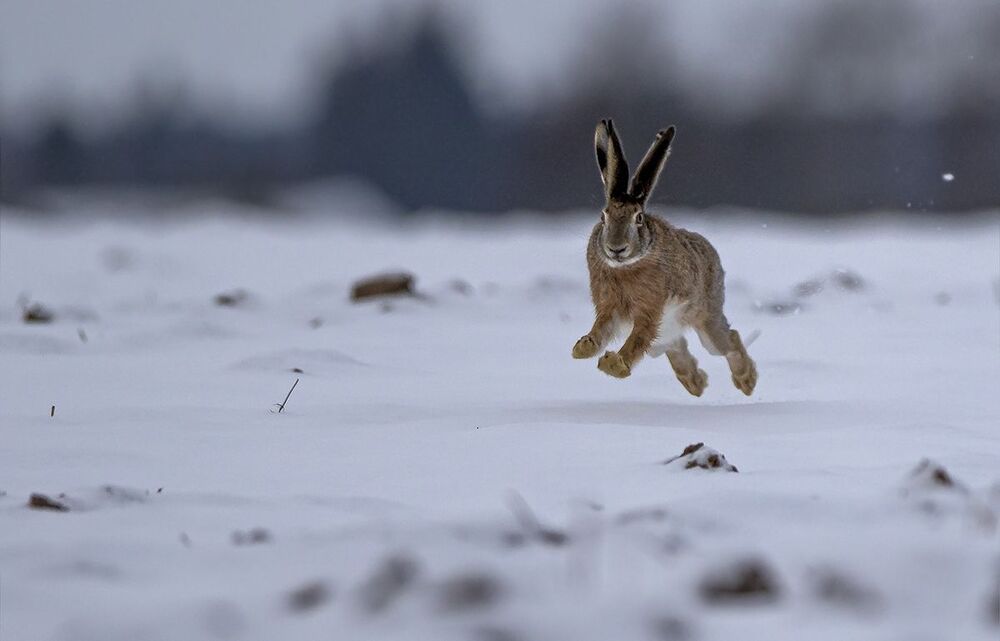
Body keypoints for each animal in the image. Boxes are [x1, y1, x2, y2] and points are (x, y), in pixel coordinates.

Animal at [571, 119, 758, 396]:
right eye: (603, 216)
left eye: (638, 218)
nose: (616, 249)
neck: (626, 267)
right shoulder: (608, 305)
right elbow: (601, 328)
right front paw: (584, 347)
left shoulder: (650, 308)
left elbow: (638, 338)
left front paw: (615, 364)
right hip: (666, 339)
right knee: (677, 347)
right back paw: (696, 383)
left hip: (706, 321)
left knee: (729, 339)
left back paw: (746, 381)